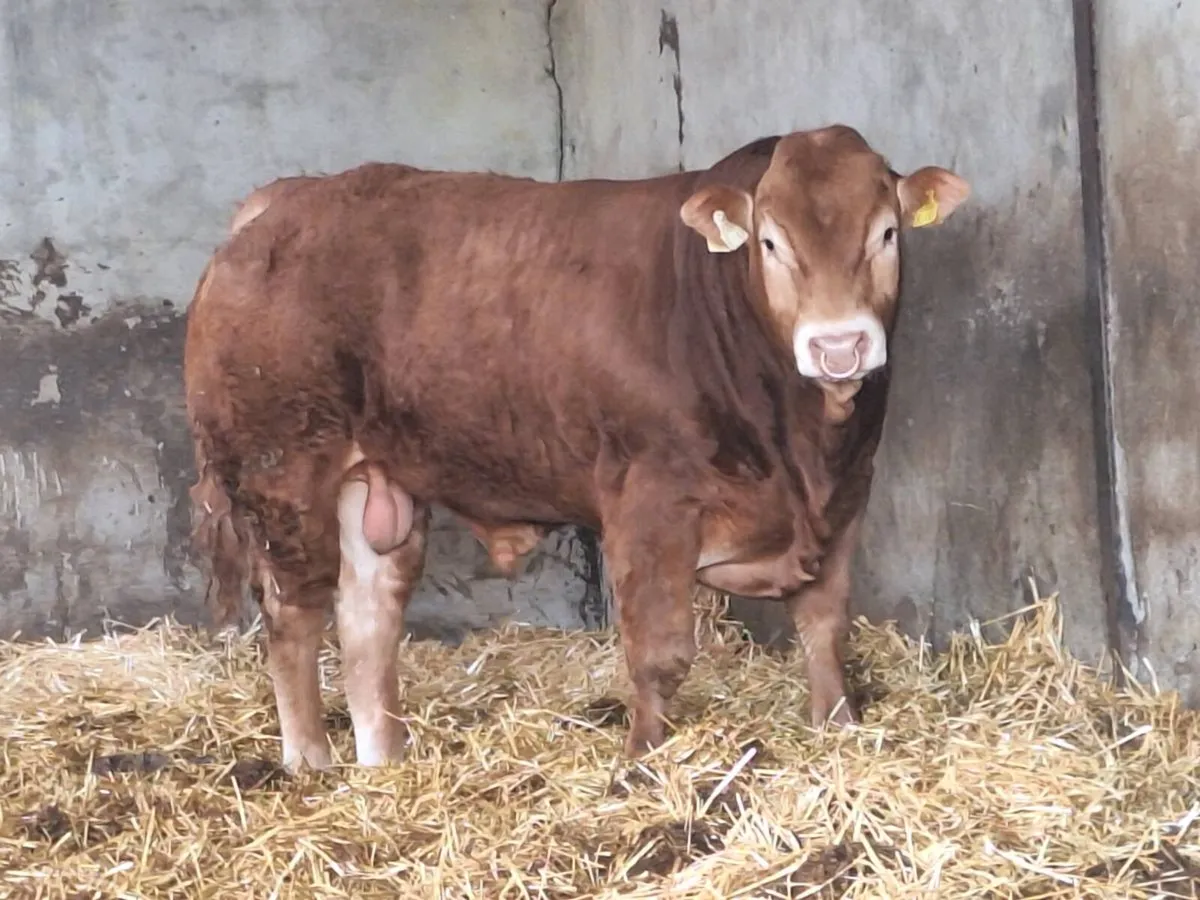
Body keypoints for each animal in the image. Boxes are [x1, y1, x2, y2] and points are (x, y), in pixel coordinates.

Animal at [184, 125, 968, 770]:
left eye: (888, 233)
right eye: (771, 242)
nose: (839, 346)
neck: (800, 451)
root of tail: (287, 197)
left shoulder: (848, 491)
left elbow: (825, 627)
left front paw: (839, 729)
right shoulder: (649, 500)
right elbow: (659, 653)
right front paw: (644, 762)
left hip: (374, 480)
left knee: (368, 611)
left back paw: (385, 761)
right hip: (281, 470)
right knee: (293, 612)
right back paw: (312, 763)